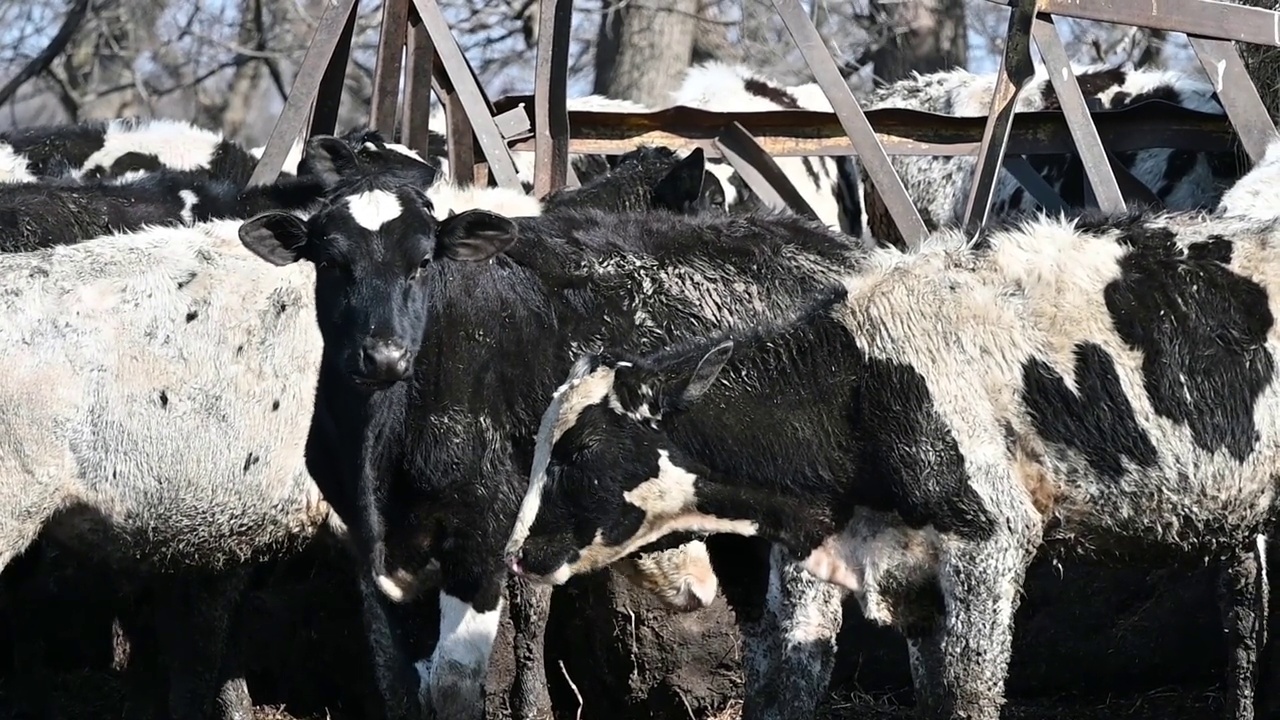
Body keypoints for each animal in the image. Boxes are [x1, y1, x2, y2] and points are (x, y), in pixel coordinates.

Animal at [235, 140, 865, 717]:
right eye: (330, 261)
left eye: (423, 260)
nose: (383, 355)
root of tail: (829, 247)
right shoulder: (378, 557)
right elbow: (404, 686)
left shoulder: (485, 534)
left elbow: (456, 682)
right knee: (761, 633)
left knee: (806, 636)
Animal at [501, 198, 1280, 712]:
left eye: (580, 450)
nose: (517, 552)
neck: (859, 389)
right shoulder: (838, 567)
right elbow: (797, 687)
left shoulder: (989, 544)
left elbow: (966, 697)